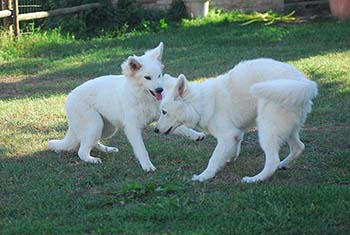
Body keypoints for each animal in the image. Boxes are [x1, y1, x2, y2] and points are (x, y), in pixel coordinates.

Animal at [47, 42, 204, 171]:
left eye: (159, 75)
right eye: (147, 77)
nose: (160, 90)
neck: (144, 97)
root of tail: (69, 97)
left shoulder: (162, 118)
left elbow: (181, 127)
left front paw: (196, 135)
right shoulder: (132, 128)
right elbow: (142, 150)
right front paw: (147, 166)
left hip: (107, 129)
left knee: (90, 142)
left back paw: (108, 149)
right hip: (95, 125)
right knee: (82, 151)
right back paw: (92, 159)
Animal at [155, 57, 318, 183]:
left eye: (164, 112)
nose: (155, 130)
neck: (202, 103)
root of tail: (303, 82)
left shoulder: (227, 135)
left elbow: (214, 158)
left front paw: (204, 176)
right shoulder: (236, 133)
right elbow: (234, 148)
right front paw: (229, 158)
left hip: (267, 130)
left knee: (273, 161)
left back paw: (255, 179)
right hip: (286, 128)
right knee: (299, 147)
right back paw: (282, 165)